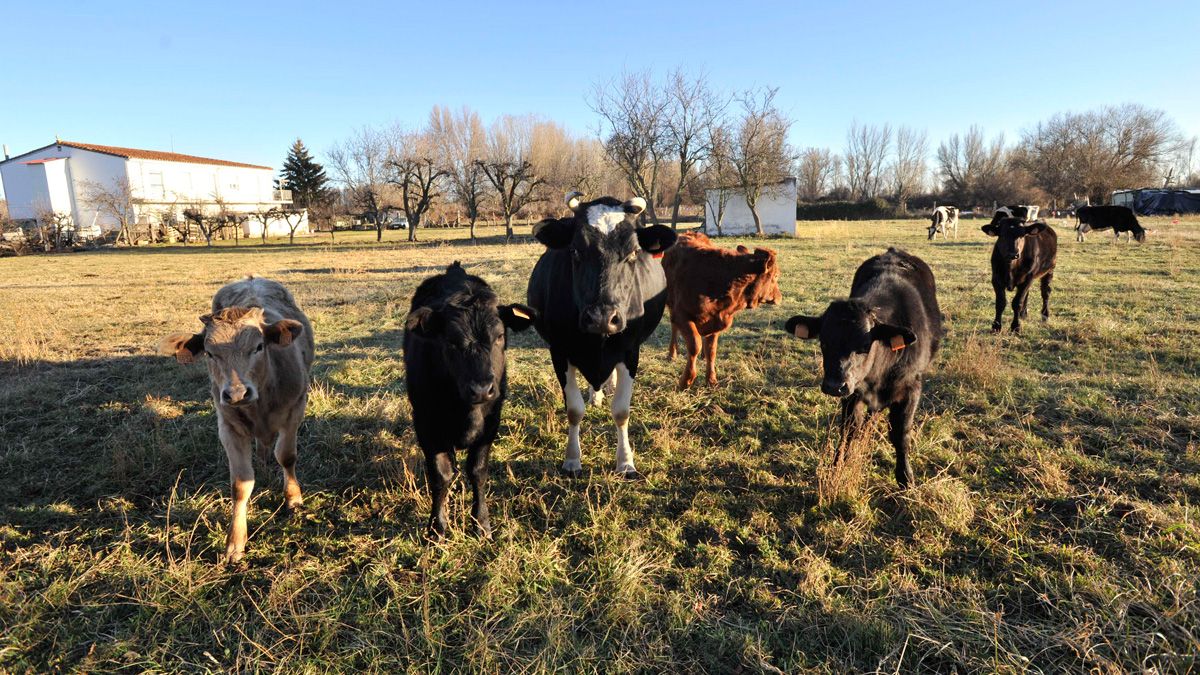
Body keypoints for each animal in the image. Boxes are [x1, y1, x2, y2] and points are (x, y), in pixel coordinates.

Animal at [159, 276, 314, 559]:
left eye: (259, 346)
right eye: (209, 353)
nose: (237, 393)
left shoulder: (295, 409)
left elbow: (287, 456)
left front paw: (293, 498)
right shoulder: (228, 427)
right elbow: (241, 484)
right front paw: (235, 542)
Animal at [403, 260, 535, 533]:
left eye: (500, 336)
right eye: (451, 341)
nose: (481, 389)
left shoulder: (491, 422)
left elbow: (477, 471)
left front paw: (481, 523)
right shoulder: (425, 424)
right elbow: (440, 475)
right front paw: (437, 527)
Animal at [530, 192, 681, 475]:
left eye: (633, 252)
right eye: (575, 250)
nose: (602, 317)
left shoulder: (630, 351)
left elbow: (621, 411)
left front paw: (625, 461)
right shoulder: (559, 351)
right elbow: (574, 410)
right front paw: (572, 459)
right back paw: (596, 394)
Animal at [662, 233, 782, 386]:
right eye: (776, 275)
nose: (780, 297)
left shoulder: (716, 319)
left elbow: (711, 350)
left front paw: (711, 380)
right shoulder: (681, 315)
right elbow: (695, 345)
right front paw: (686, 380)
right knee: (674, 328)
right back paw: (672, 354)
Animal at [787, 246, 945, 482]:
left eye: (864, 345)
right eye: (823, 341)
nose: (834, 386)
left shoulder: (911, 388)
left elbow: (901, 433)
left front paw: (905, 477)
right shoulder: (852, 392)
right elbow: (849, 430)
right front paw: (837, 465)